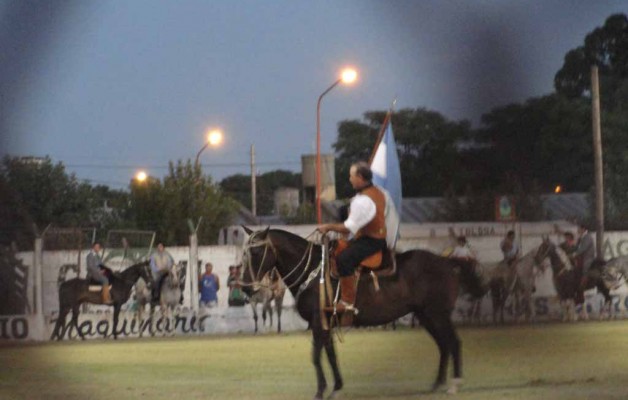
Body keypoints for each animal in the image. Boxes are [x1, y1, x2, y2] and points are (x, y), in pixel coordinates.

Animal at [240, 227, 486, 398]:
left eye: (257, 251)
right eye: (245, 253)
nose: (245, 287)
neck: (313, 272)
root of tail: (448, 262)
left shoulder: (319, 324)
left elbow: (316, 357)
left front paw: (320, 391)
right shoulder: (326, 324)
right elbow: (331, 355)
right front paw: (336, 388)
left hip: (438, 314)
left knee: (453, 342)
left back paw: (454, 384)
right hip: (427, 316)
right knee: (443, 345)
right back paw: (437, 384)